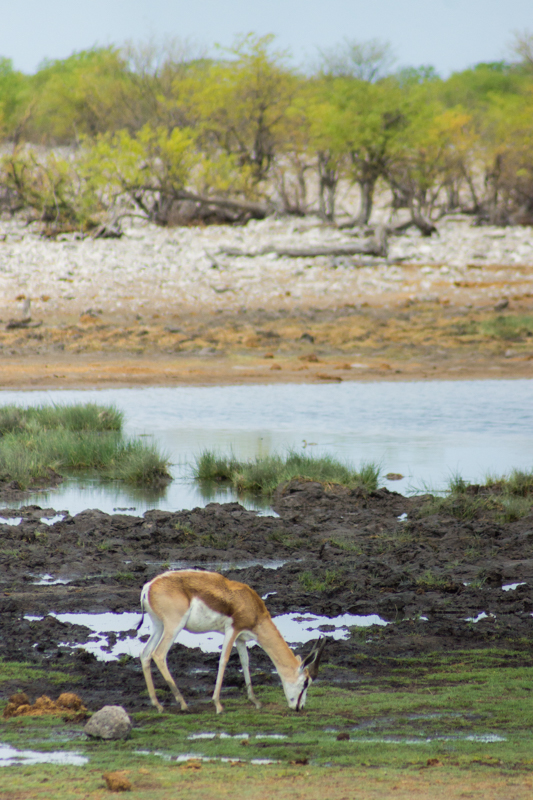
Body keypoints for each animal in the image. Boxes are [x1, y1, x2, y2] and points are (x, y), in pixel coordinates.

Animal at [138, 569, 326, 714]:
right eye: (306, 682)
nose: (299, 707)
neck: (251, 606)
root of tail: (149, 586)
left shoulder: (241, 638)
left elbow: (245, 662)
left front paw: (255, 701)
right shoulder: (232, 630)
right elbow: (224, 660)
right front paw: (218, 705)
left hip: (158, 625)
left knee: (145, 654)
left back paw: (158, 705)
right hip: (174, 626)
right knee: (159, 654)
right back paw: (183, 704)